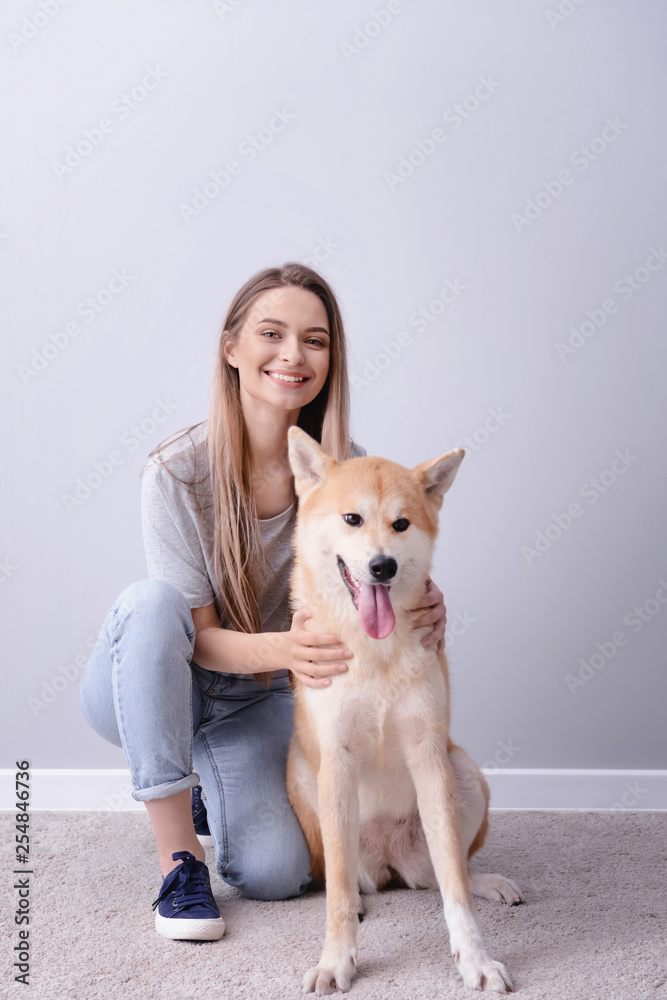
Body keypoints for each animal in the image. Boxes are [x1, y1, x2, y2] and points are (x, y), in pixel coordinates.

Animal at [284, 428, 524, 992]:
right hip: (306, 778)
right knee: (346, 879)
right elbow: (337, 894)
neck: (374, 651)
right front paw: (337, 960)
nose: (382, 566)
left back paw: (485, 881)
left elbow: (455, 888)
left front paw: (475, 959)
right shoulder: (337, 760)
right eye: (353, 519)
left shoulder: (429, 755)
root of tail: (390, 865)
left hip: (464, 774)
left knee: (442, 871)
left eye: (401, 524)